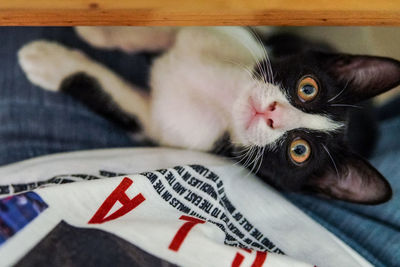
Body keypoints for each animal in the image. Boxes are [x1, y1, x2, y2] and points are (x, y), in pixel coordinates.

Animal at [17, 26, 400, 205]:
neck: (225, 99)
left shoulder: (161, 126)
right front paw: (103, 30)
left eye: (299, 151)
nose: (272, 114)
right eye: (308, 88)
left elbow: (110, 93)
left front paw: (47, 61)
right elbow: (167, 30)